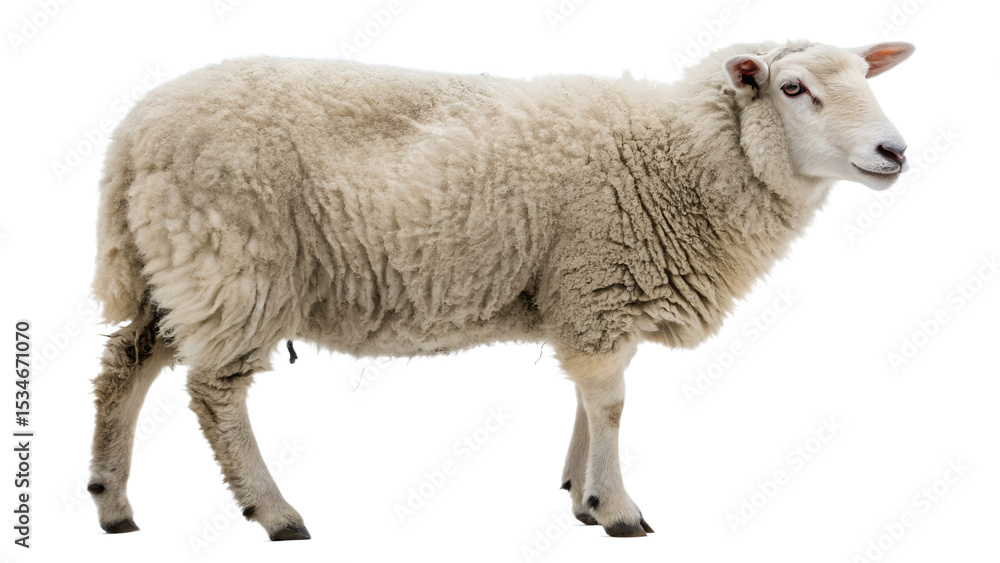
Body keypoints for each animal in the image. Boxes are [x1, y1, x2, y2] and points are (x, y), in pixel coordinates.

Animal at [88, 39, 914, 540]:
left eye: (866, 78)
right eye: (794, 87)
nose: (895, 151)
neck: (683, 158)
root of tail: (130, 131)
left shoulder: (581, 294)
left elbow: (589, 395)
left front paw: (579, 490)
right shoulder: (597, 279)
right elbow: (611, 402)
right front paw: (616, 507)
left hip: (175, 263)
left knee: (125, 365)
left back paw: (112, 499)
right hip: (235, 261)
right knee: (215, 392)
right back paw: (274, 508)